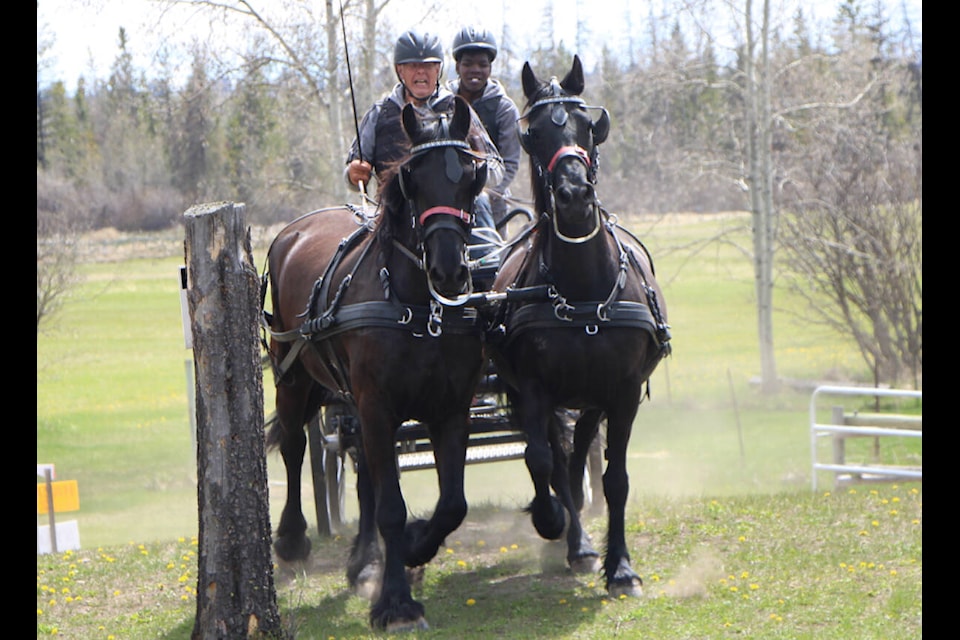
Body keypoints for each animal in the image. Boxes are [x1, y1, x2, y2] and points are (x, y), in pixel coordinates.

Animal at [262, 95, 488, 632]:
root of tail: (296, 229)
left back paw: (364, 562)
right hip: (295, 377)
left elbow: (452, 504)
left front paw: (413, 547)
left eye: (472, 174)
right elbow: (390, 507)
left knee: (363, 470)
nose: (449, 271)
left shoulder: (451, 409)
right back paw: (292, 538)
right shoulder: (378, 407)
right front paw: (397, 603)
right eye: (411, 176)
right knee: (296, 446)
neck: (418, 306)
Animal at [488, 57, 668, 596]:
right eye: (534, 134)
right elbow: (540, 461)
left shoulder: (623, 392)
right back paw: (575, 542)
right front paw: (553, 523)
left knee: (576, 459)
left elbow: (615, 479)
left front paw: (621, 567)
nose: (572, 195)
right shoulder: (534, 388)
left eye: (588, 126)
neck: (585, 288)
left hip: (590, 399)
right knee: (554, 460)